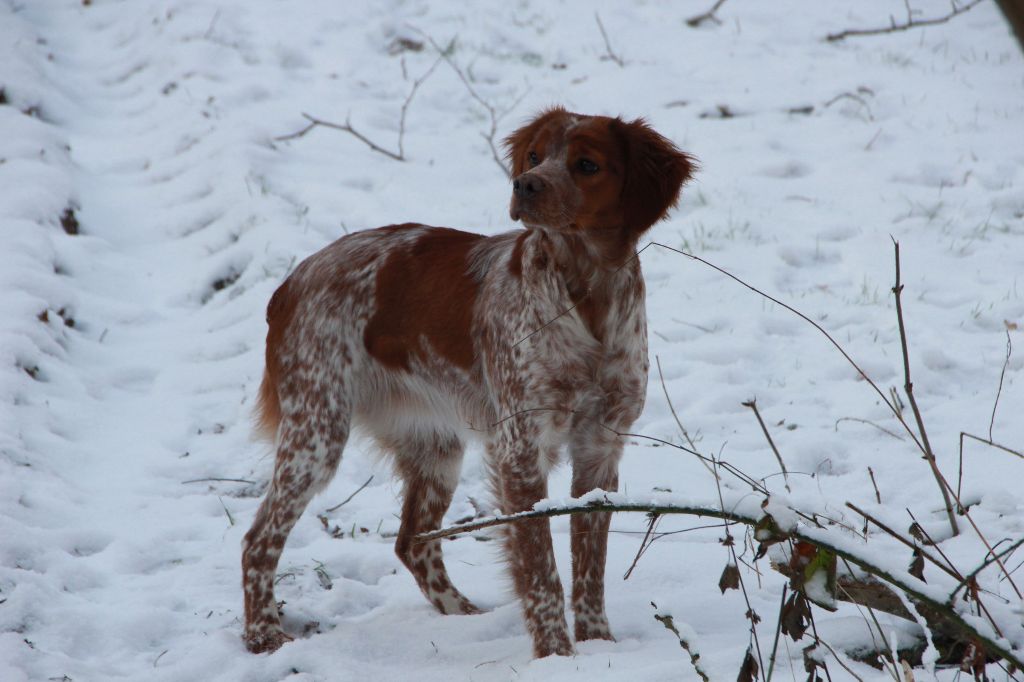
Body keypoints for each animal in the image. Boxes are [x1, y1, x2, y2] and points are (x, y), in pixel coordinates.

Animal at [240, 109, 692, 655]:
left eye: (587, 164)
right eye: (535, 156)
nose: (525, 184)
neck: (587, 294)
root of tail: (290, 282)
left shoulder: (600, 448)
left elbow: (590, 565)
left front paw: (599, 644)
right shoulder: (521, 447)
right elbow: (541, 568)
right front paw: (557, 655)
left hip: (436, 447)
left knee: (411, 542)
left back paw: (463, 616)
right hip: (316, 434)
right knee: (258, 540)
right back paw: (263, 635)